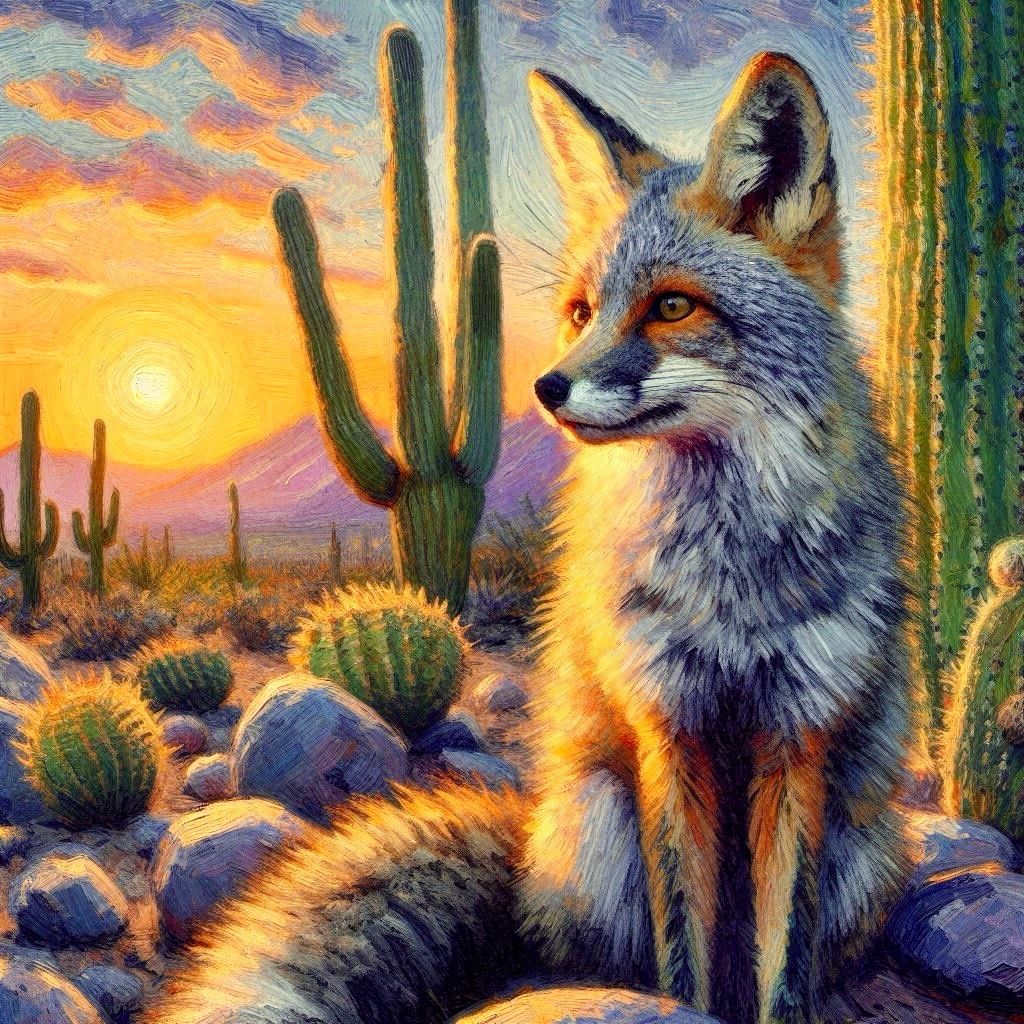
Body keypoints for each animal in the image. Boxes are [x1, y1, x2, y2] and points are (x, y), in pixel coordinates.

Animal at [150, 53, 910, 1024]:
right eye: (583, 311)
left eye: (672, 306)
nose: (547, 387)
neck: (726, 578)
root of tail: (530, 837)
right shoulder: (664, 726)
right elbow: (685, 952)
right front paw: (683, 1001)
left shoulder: (800, 735)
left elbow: (781, 964)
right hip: (602, 826)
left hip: (864, 847)